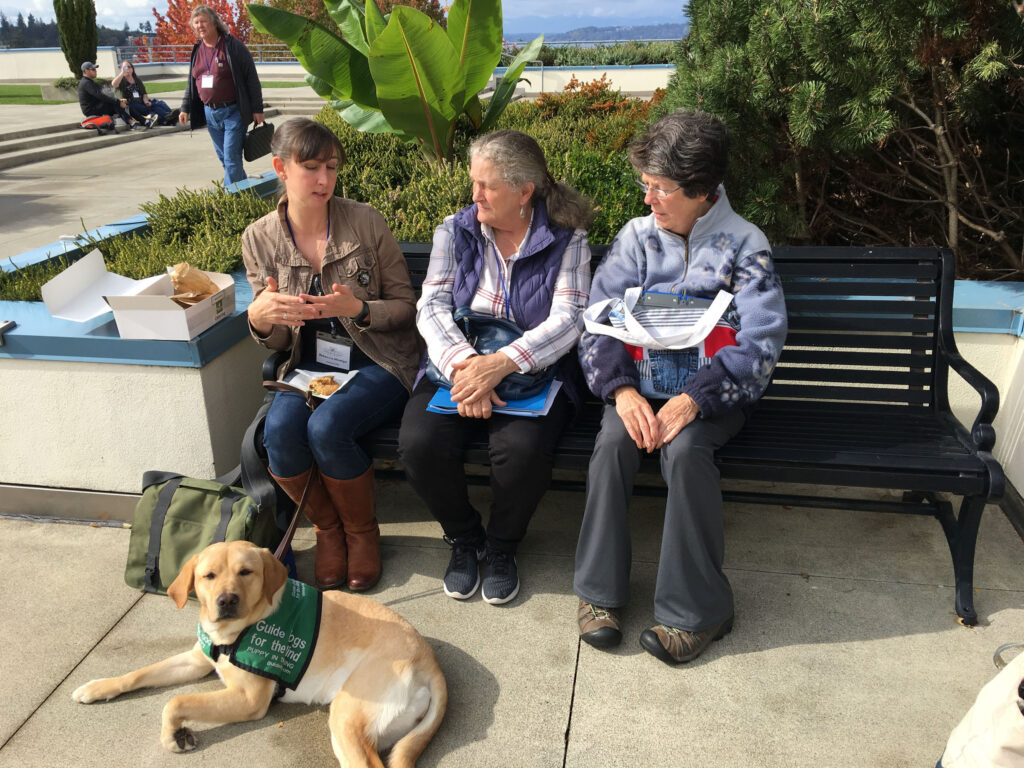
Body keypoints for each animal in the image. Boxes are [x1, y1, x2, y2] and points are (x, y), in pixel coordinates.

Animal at [68, 540, 444, 768]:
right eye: (208, 576)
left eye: (246, 572)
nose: (226, 600)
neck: (232, 635)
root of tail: (430, 664)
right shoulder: (196, 660)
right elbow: (139, 673)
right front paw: (98, 687)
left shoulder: (248, 699)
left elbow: (175, 702)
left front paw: (171, 737)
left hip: (347, 715)